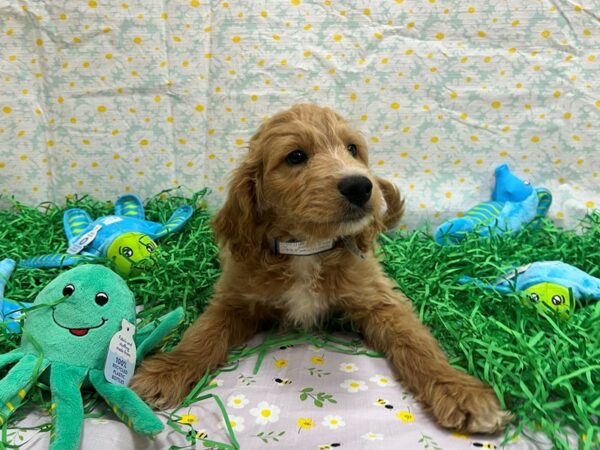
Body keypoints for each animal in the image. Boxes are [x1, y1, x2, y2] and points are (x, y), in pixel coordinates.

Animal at [131, 103, 510, 434]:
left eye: (352, 149)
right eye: (296, 157)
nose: (361, 185)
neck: (307, 249)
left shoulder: (380, 299)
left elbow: (417, 343)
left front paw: (459, 391)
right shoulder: (234, 298)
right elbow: (202, 334)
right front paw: (167, 371)